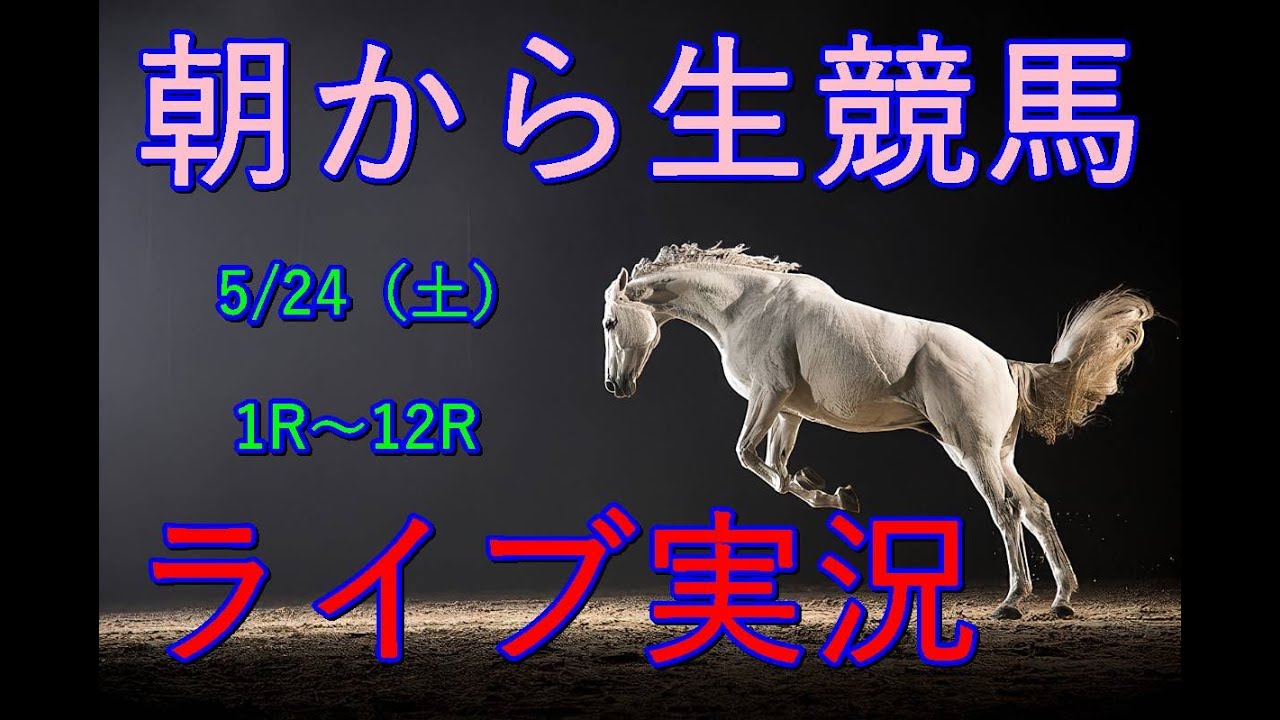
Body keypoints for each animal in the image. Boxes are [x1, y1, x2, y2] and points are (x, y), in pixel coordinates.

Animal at [600, 243, 1154, 620]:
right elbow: (776, 470)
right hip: (992, 454)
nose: (614, 386)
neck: (749, 306)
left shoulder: (768, 396)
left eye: (609, 323)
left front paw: (830, 492)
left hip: (974, 452)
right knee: (1035, 508)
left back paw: (1014, 601)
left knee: (1007, 510)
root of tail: (1004, 364)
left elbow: (748, 457)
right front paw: (834, 493)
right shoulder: (788, 412)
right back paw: (1062, 598)